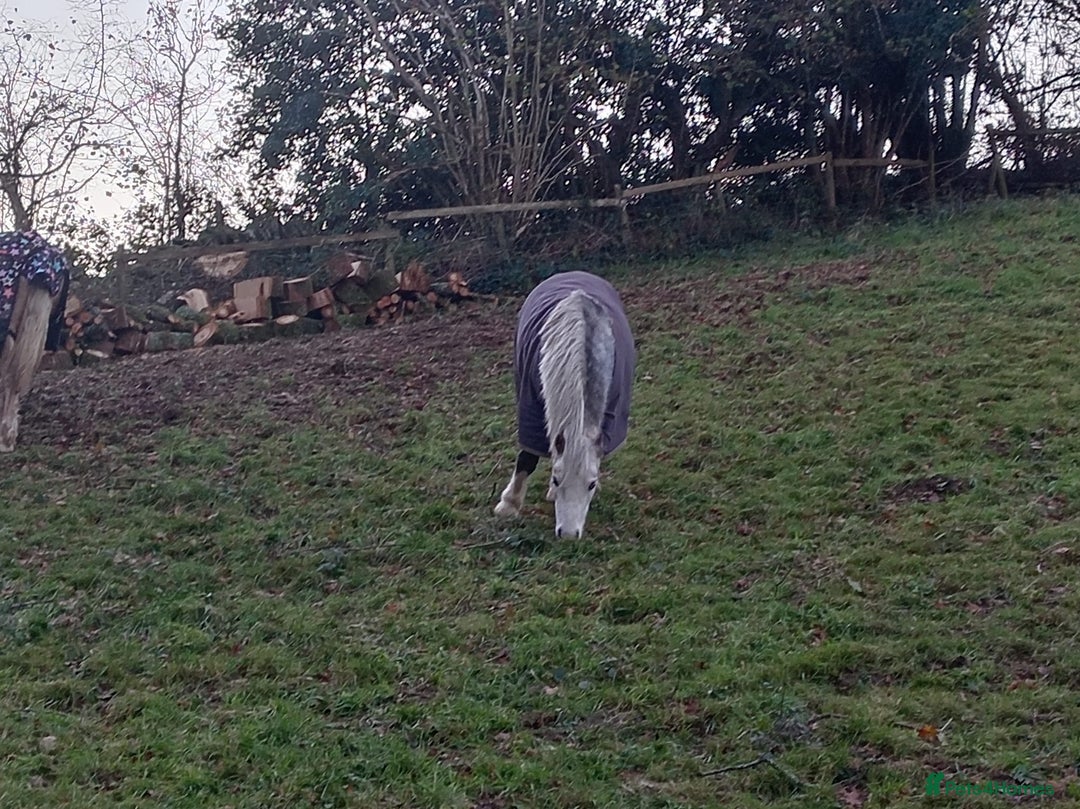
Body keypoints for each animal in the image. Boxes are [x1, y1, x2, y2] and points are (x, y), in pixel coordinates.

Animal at [494, 271, 636, 538]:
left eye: (591, 484)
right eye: (558, 479)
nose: (569, 535)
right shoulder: (531, 407)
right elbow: (528, 456)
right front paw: (509, 505)